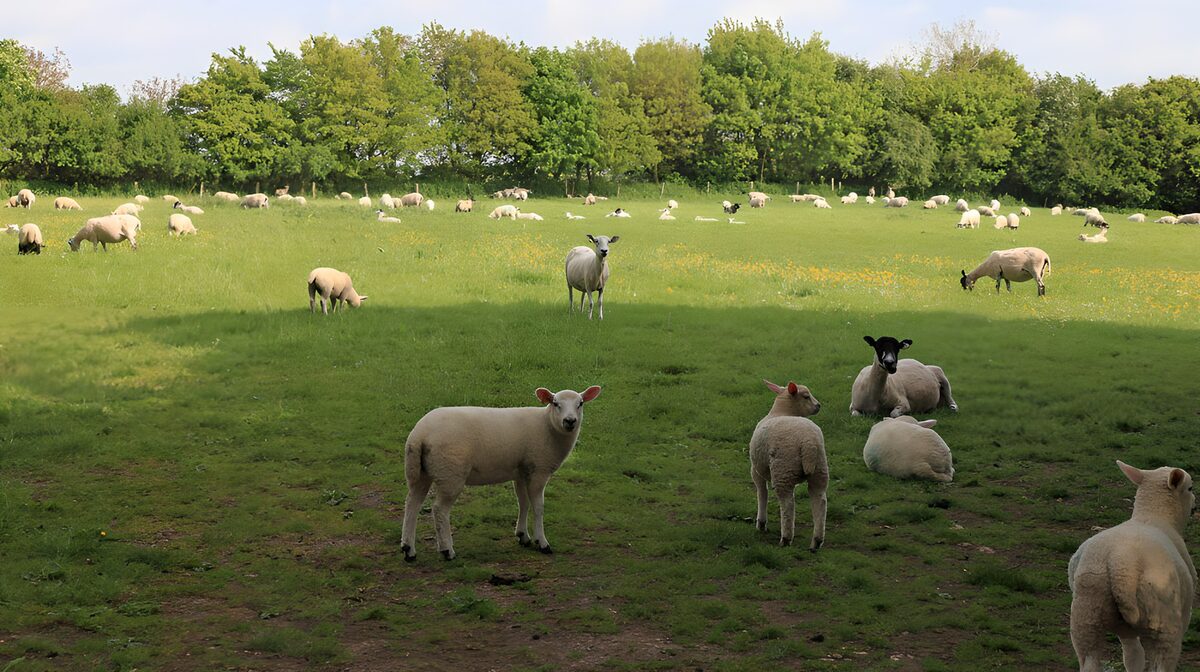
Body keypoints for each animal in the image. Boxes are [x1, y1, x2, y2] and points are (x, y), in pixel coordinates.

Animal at [401, 384, 602, 561]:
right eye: (555, 403)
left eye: (580, 403)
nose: (570, 421)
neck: (547, 426)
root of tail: (419, 434)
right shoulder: (539, 470)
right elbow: (538, 507)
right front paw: (542, 542)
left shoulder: (521, 472)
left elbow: (523, 503)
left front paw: (523, 535)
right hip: (450, 473)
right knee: (439, 510)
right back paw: (447, 550)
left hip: (420, 472)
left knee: (412, 503)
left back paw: (408, 549)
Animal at [749, 379, 828, 551]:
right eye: (806, 396)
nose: (818, 406)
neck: (782, 411)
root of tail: (808, 442)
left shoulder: (755, 469)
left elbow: (762, 493)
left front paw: (761, 523)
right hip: (820, 468)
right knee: (820, 500)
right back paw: (816, 541)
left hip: (783, 469)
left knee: (787, 504)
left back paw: (785, 538)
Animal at [1068, 461, 1196, 672]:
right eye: (1191, 488)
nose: (1195, 505)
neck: (1154, 516)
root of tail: (1120, 564)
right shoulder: (1185, 612)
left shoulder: (1126, 632)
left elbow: (1133, 658)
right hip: (1163, 622)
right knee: (1162, 664)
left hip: (1086, 615)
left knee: (1091, 661)